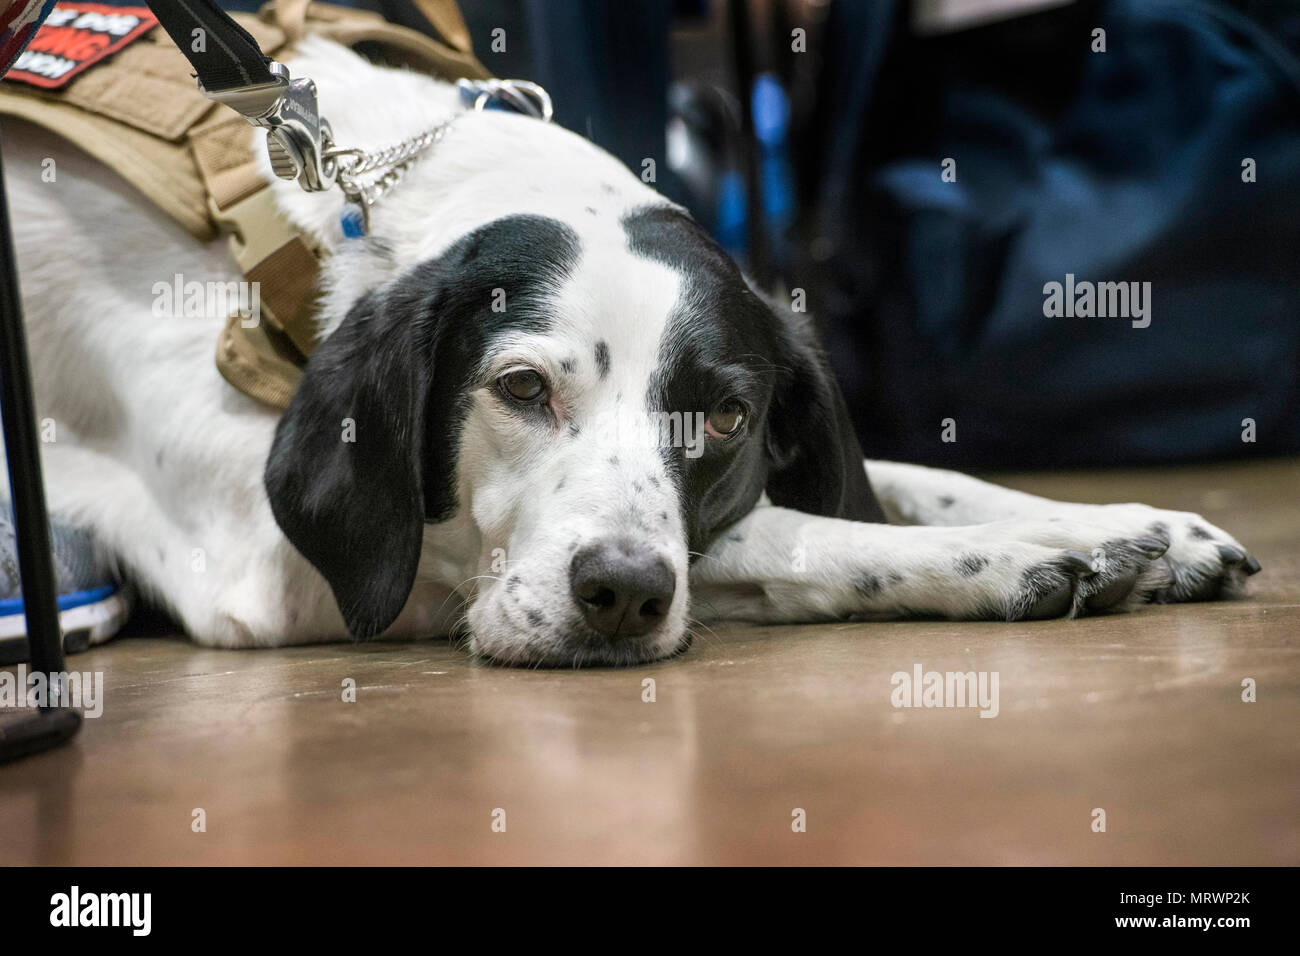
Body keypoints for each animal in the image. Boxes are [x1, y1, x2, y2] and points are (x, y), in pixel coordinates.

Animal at [5, 39, 1253, 665]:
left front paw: (1132, 525)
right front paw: (1020, 556)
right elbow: (778, 533)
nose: (621, 595)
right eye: (519, 387)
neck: (347, 221)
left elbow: (905, 479)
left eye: (726, 416)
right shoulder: (276, 568)